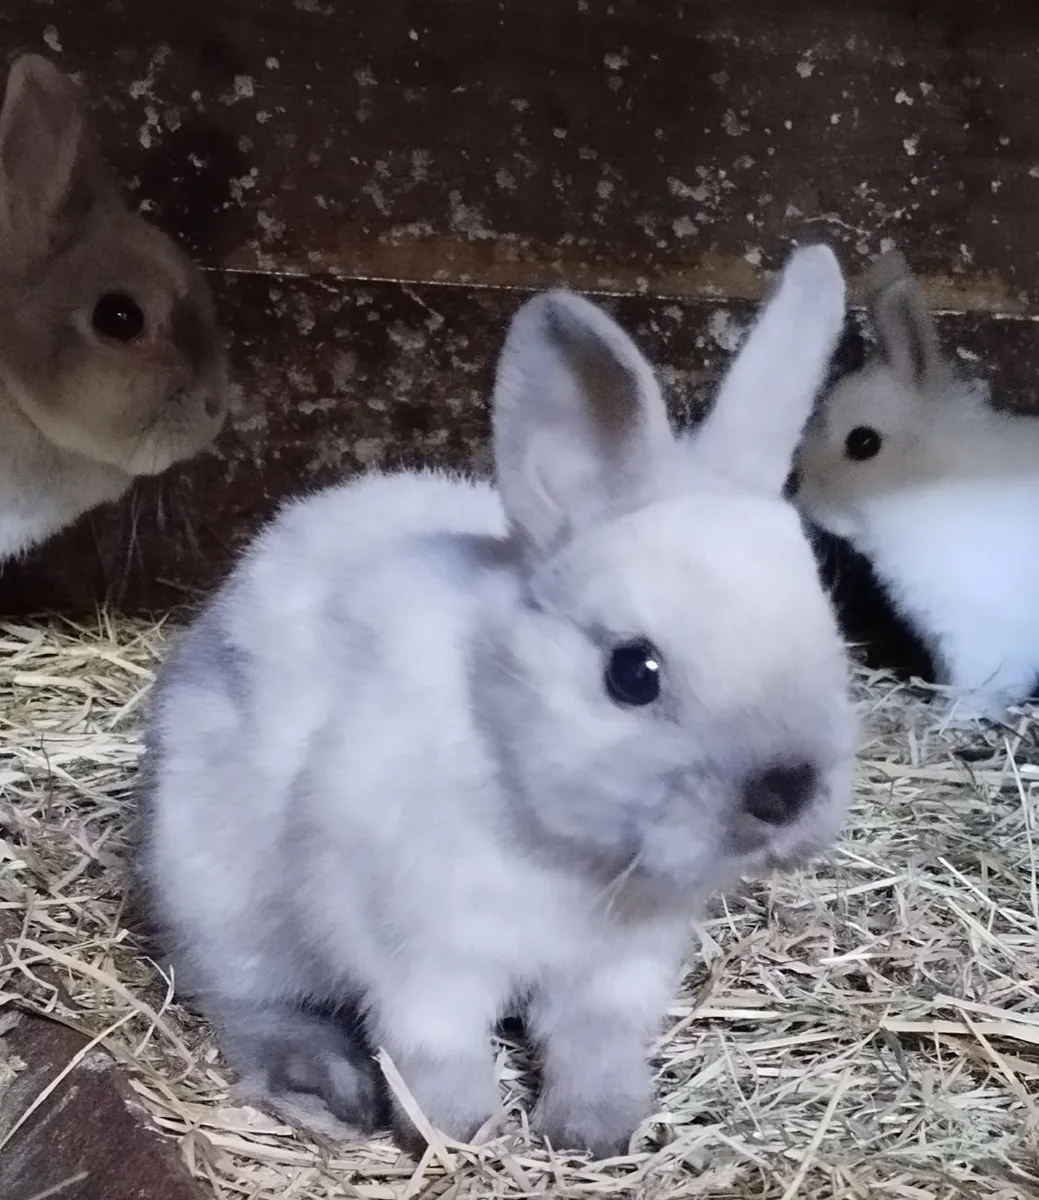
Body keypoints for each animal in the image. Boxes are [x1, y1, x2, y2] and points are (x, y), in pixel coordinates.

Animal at [135, 244, 856, 1159]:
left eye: (825, 626)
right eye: (633, 673)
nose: (786, 788)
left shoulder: (618, 967)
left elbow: (594, 1038)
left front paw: (594, 1129)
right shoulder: (417, 946)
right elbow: (432, 1042)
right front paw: (457, 1129)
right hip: (216, 898)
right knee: (245, 1002)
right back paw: (320, 1080)